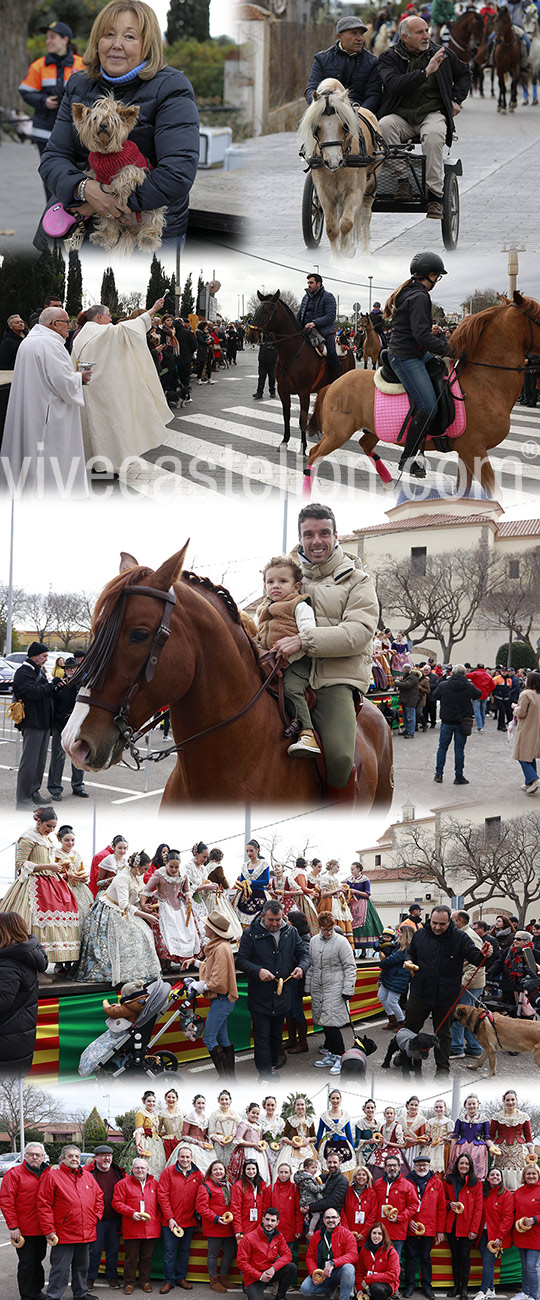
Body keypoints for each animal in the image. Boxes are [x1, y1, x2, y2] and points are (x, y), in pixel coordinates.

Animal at [71, 94, 165, 253]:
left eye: (113, 120)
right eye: (95, 118)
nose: (103, 125)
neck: (107, 154)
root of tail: (131, 227)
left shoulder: (138, 167)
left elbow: (128, 171)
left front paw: (119, 189)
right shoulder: (97, 173)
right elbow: (91, 175)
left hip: (152, 210)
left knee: (153, 223)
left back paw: (148, 240)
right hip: (107, 214)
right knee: (110, 227)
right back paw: (102, 237)